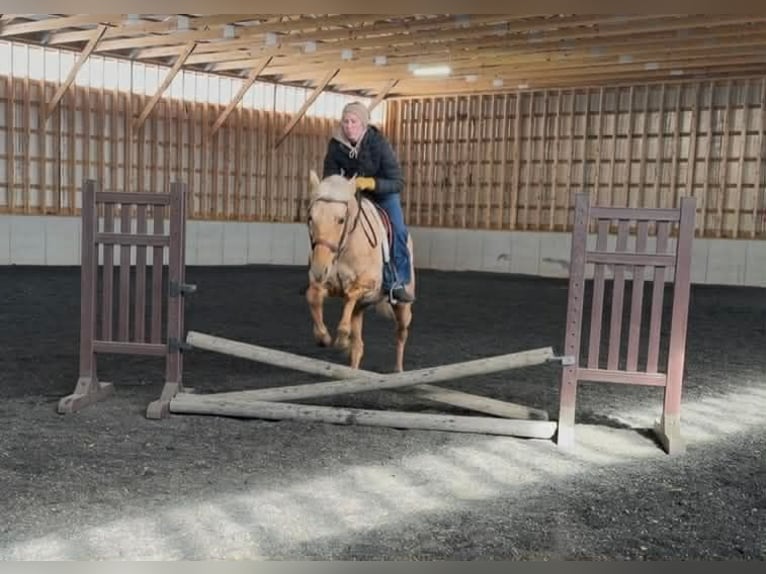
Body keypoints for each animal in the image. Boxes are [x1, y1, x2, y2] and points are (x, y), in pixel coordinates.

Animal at [304, 170, 415, 372]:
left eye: (341, 220)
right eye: (310, 218)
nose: (319, 269)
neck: (345, 247)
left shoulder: (369, 284)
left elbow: (350, 294)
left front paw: (341, 339)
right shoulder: (327, 285)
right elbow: (313, 295)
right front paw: (323, 337)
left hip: (402, 305)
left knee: (401, 332)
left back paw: (399, 371)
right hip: (360, 309)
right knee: (358, 346)